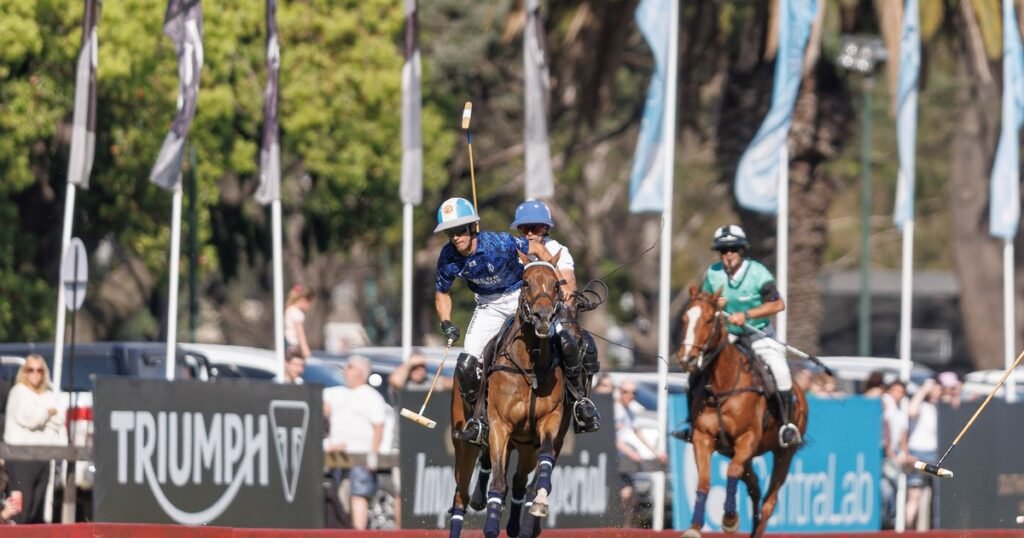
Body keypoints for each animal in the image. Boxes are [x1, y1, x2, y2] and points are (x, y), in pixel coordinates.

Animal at [450, 251, 577, 536]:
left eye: (556, 284)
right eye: (526, 282)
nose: (543, 318)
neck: (530, 365)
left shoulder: (549, 421)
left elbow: (544, 461)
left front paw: (540, 500)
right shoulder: (499, 425)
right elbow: (498, 483)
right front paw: (490, 526)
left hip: (524, 445)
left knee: (518, 482)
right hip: (464, 442)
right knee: (460, 497)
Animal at [675, 284, 811, 536]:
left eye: (709, 319)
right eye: (684, 319)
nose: (686, 358)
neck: (722, 387)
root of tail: (799, 390)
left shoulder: (747, 439)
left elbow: (730, 472)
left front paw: (729, 519)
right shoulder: (703, 437)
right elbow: (704, 481)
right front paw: (695, 527)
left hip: (784, 453)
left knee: (769, 501)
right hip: (737, 453)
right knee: (754, 487)